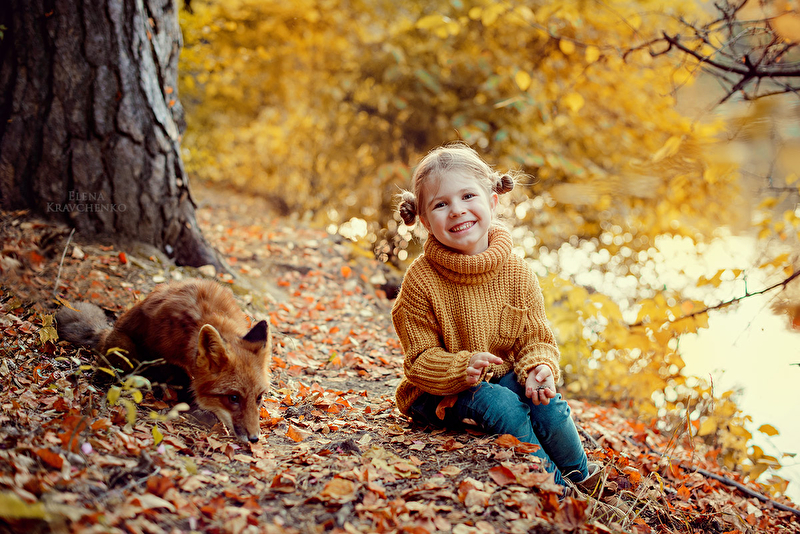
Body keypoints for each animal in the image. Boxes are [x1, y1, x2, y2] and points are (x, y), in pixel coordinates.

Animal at [57, 278, 272, 446]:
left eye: (259, 398)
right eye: (233, 398)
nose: (254, 438)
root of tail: (105, 332)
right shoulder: (156, 355)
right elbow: (182, 381)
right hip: (125, 349)